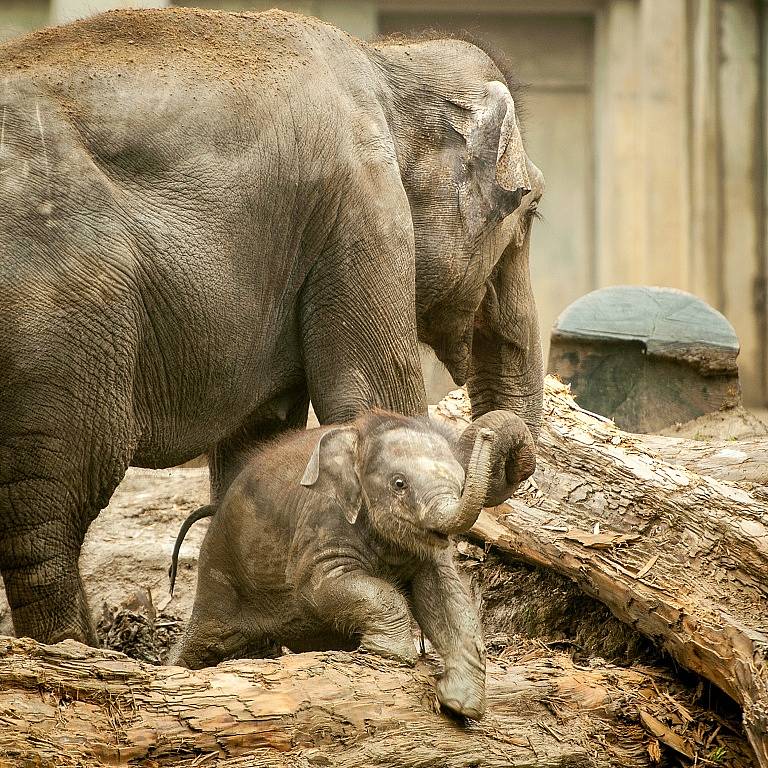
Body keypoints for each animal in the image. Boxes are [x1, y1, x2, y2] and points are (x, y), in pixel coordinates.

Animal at [0, 9, 540, 644]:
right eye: (530, 209)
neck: (385, 61)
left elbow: (262, 435)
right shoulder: (363, 208)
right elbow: (372, 396)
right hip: (64, 313)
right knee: (56, 497)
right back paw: (74, 646)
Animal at [168, 412, 536, 716]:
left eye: (461, 486)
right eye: (399, 484)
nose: (487, 435)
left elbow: (446, 597)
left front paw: (460, 705)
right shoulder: (322, 524)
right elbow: (318, 587)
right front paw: (390, 653)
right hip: (220, 566)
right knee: (206, 636)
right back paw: (173, 673)